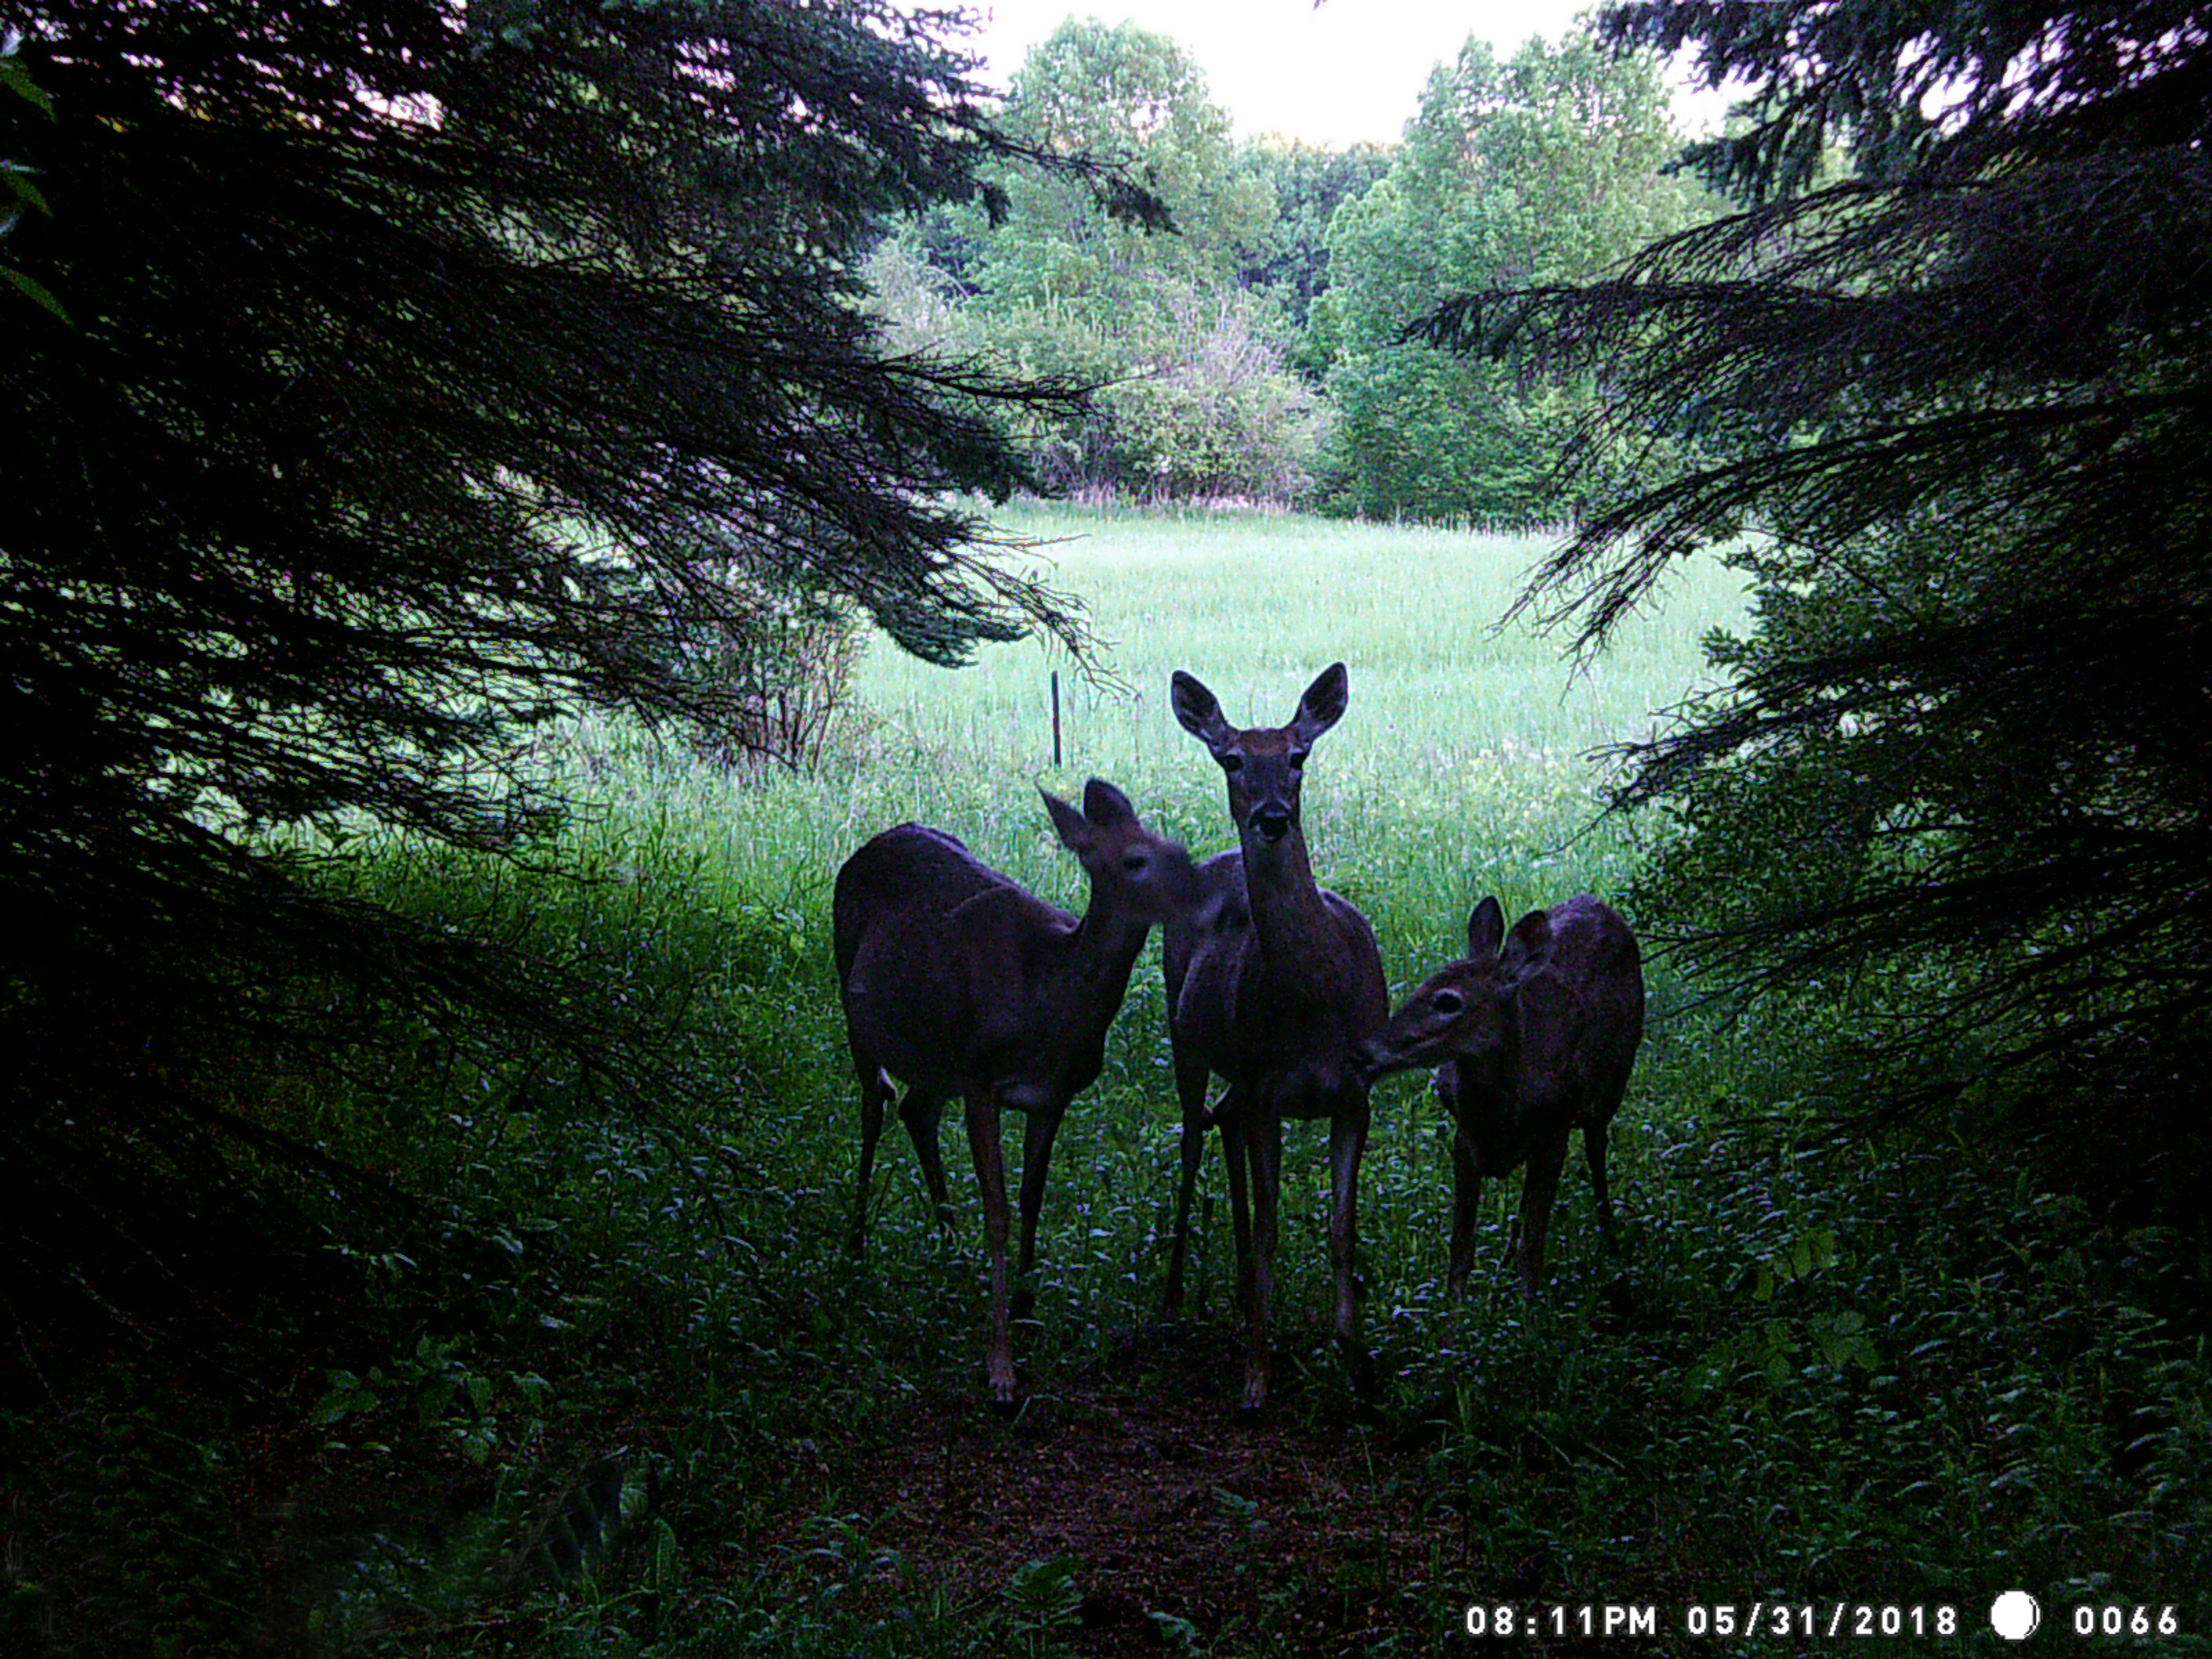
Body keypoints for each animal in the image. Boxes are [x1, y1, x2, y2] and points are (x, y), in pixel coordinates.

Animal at [831, 787, 1212, 1406]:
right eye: (1135, 860)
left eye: (1180, 847)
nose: (1209, 901)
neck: (1047, 1006)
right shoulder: (981, 1080)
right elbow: (1000, 1212)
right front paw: (1000, 1367)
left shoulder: (1052, 1098)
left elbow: (1033, 1199)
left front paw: (1028, 1311)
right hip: (858, 1009)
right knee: (875, 1105)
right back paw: (856, 1243)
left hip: (936, 1059)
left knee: (915, 1110)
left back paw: (951, 1251)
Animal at [1159, 663, 1380, 1415]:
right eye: (1230, 759)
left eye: (1298, 756)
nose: (1273, 817)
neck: (1315, 1007)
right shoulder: (1268, 1092)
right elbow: (1269, 1227)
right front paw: (1257, 1378)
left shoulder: (1356, 1093)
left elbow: (1341, 1229)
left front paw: (1353, 1358)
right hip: (1186, 1035)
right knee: (1193, 1137)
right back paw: (1176, 1301)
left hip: (1236, 1070)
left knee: (1219, 1123)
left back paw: (1234, 1295)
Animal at [1345, 898, 1646, 1300]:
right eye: (1420, 987)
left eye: (1448, 1001)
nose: (1363, 1051)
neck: (1501, 1113)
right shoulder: (1464, 1140)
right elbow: (1461, 1249)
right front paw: (1453, 1315)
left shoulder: (1556, 1130)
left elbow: (1533, 1252)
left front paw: (1528, 1311)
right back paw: (1504, 1263)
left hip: (1610, 1090)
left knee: (1597, 1157)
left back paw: (1613, 1250)